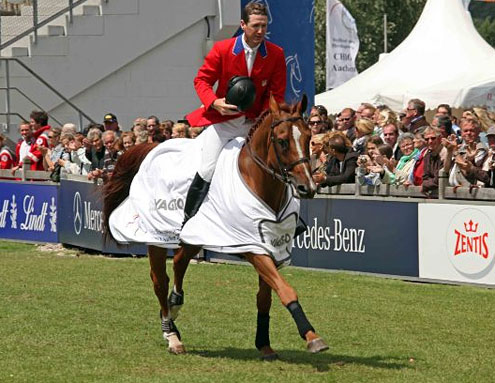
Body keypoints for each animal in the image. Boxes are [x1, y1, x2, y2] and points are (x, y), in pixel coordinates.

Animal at [102, 96, 330, 360]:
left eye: (308, 138)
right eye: (282, 141)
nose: (308, 187)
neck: (259, 183)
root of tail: (152, 148)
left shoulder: (271, 248)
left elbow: (265, 298)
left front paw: (264, 344)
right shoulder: (252, 247)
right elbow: (286, 290)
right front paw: (312, 337)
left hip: (197, 235)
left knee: (179, 261)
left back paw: (175, 304)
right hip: (156, 238)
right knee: (160, 280)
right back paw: (171, 334)